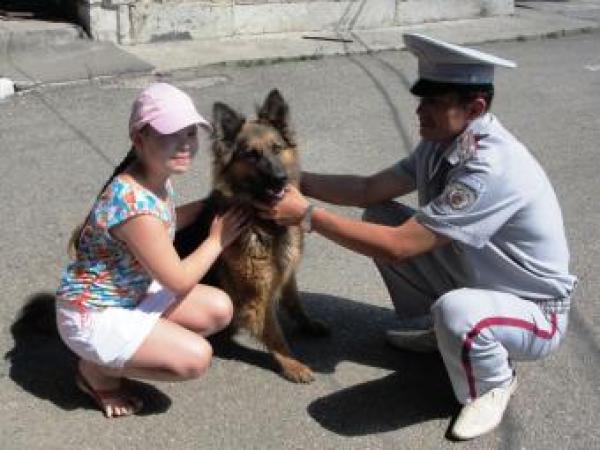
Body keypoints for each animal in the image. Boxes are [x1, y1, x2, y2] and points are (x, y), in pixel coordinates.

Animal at [176, 89, 328, 384]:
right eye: (251, 155)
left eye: (277, 149)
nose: (281, 179)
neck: (263, 221)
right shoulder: (257, 294)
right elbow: (274, 333)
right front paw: (291, 364)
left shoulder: (286, 271)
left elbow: (294, 300)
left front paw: (307, 323)